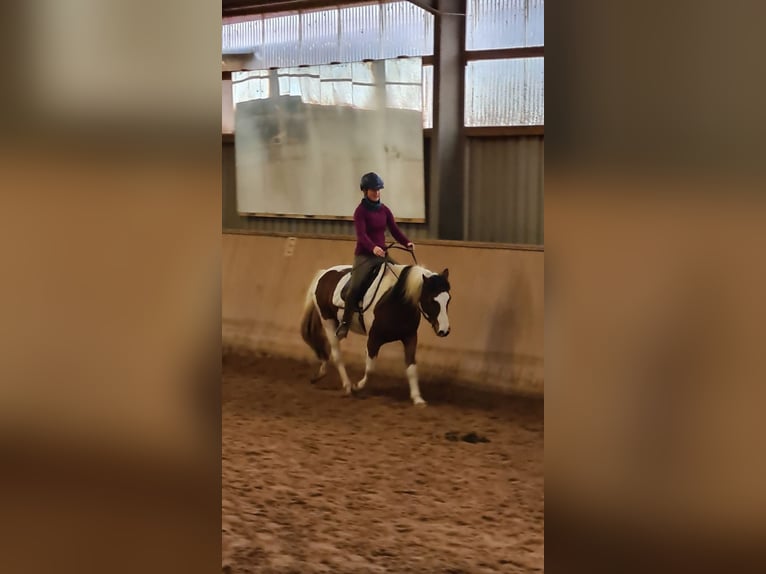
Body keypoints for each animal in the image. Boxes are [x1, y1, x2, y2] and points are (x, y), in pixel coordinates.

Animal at [300, 251, 451, 406]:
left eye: (448, 299)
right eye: (431, 300)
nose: (444, 330)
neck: (394, 300)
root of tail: (324, 273)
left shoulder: (410, 337)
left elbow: (411, 367)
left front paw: (417, 398)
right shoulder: (374, 338)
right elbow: (371, 369)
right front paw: (356, 387)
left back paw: (319, 374)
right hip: (328, 322)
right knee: (337, 354)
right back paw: (347, 385)